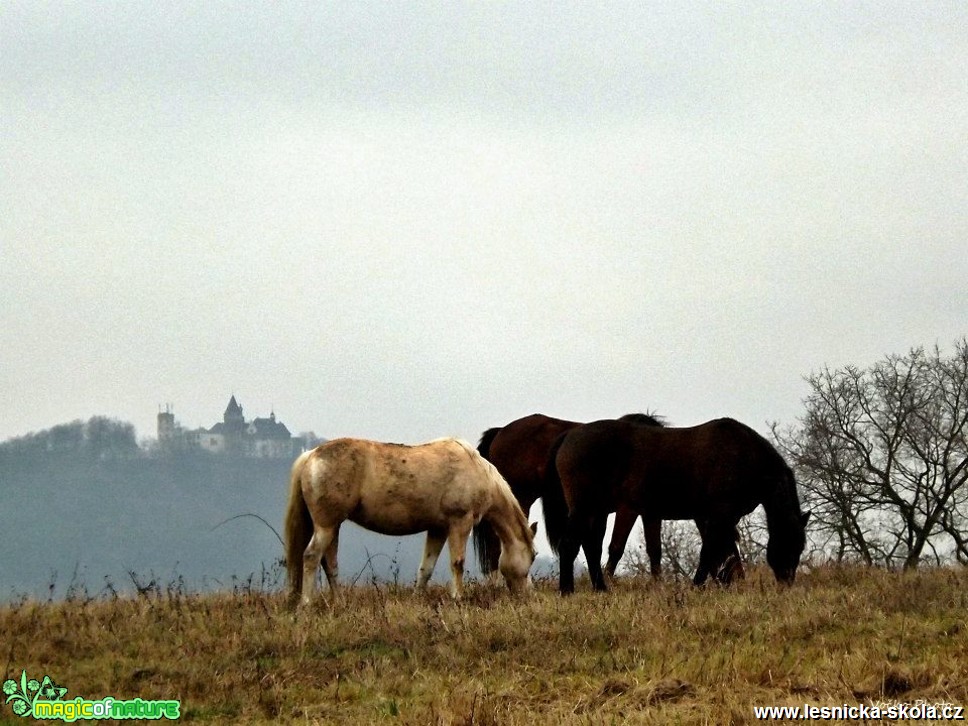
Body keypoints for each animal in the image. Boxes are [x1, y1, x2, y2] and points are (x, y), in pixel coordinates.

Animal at [284, 440, 536, 604]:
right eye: (533, 556)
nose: (528, 594)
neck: (476, 469)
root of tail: (311, 456)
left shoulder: (438, 529)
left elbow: (426, 567)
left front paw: (417, 598)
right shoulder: (460, 523)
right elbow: (457, 563)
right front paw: (458, 598)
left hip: (333, 526)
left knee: (330, 563)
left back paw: (339, 601)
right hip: (326, 526)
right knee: (311, 557)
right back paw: (306, 603)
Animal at [544, 418, 808, 596]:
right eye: (791, 543)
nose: (787, 581)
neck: (743, 455)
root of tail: (568, 436)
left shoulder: (717, 518)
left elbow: (720, 551)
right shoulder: (719, 515)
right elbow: (711, 552)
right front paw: (700, 584)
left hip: (595, 511)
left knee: (590, 547)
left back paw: (600, 588)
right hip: (584, 509)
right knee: (570, 545)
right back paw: (567, 591)